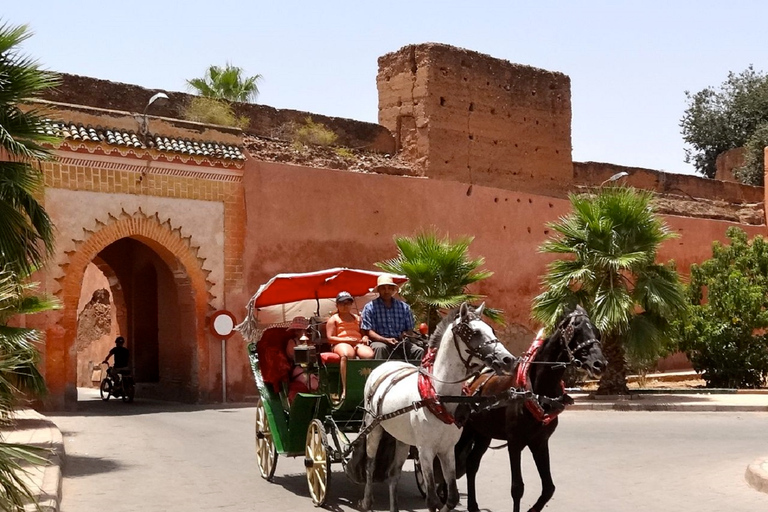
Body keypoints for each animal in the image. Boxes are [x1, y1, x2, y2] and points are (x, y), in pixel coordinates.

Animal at [360, 302, 516, 512]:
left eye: (492, 329)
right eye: (474, 332)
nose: (508, 359)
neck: (439, 396)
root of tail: (385, 365)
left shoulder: (447, 449)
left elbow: (452, 497)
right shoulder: (425, 450)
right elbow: (432, 499)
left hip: (402, 438)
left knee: (393, 474)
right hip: (374, 428)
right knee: (370, 465)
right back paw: (367, 501)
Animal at [456, 306, 608, 512]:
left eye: (597, 332)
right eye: (576, 331)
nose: (600, 364)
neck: (536, 390)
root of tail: (472, 383)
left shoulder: (540, 441)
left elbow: (549, 487)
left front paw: (533, 509)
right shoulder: (514, 442)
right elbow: (517, 488)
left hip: (483, 434)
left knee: (472, 463)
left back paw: (473, 505)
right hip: (468, 429)